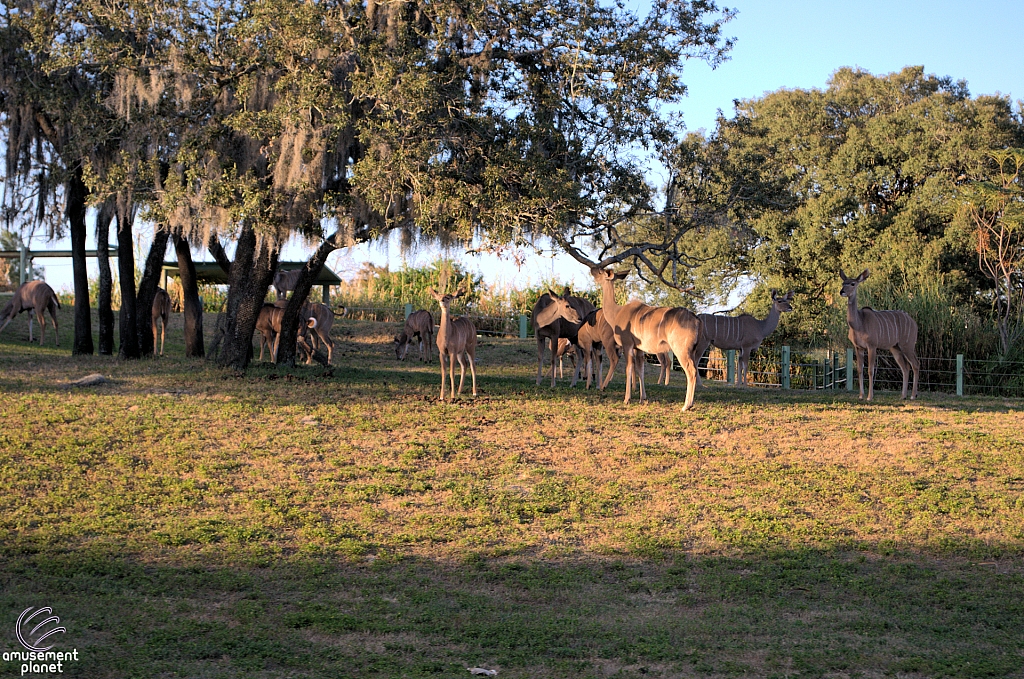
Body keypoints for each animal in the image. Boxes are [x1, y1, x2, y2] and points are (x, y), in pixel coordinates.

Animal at [593, 268, 704, 411]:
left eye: (600, 272)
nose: (592, 270)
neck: (616, 312)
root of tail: (696, 319)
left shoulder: (627, 344)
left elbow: (629, 368)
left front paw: (627, 399)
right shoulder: (638, 348)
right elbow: (640, 369)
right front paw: (642, 398)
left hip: (681, 350)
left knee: (691, 371)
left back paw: (686, 406)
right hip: (693, 351)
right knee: (694, 370)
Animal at [839, 268, 921, 401]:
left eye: (852, 283)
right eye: (843, 283)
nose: (842, 292)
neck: (859, 323)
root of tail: (914, 322)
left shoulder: (872, 346)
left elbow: (870, 370)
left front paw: (869, 397)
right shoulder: (858, 347)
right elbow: (859, 369)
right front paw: (861, 396)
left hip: (907, 345)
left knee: (915, 364)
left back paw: (913, 395)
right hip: (895, 348)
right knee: (905, 367)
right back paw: (903, 396)